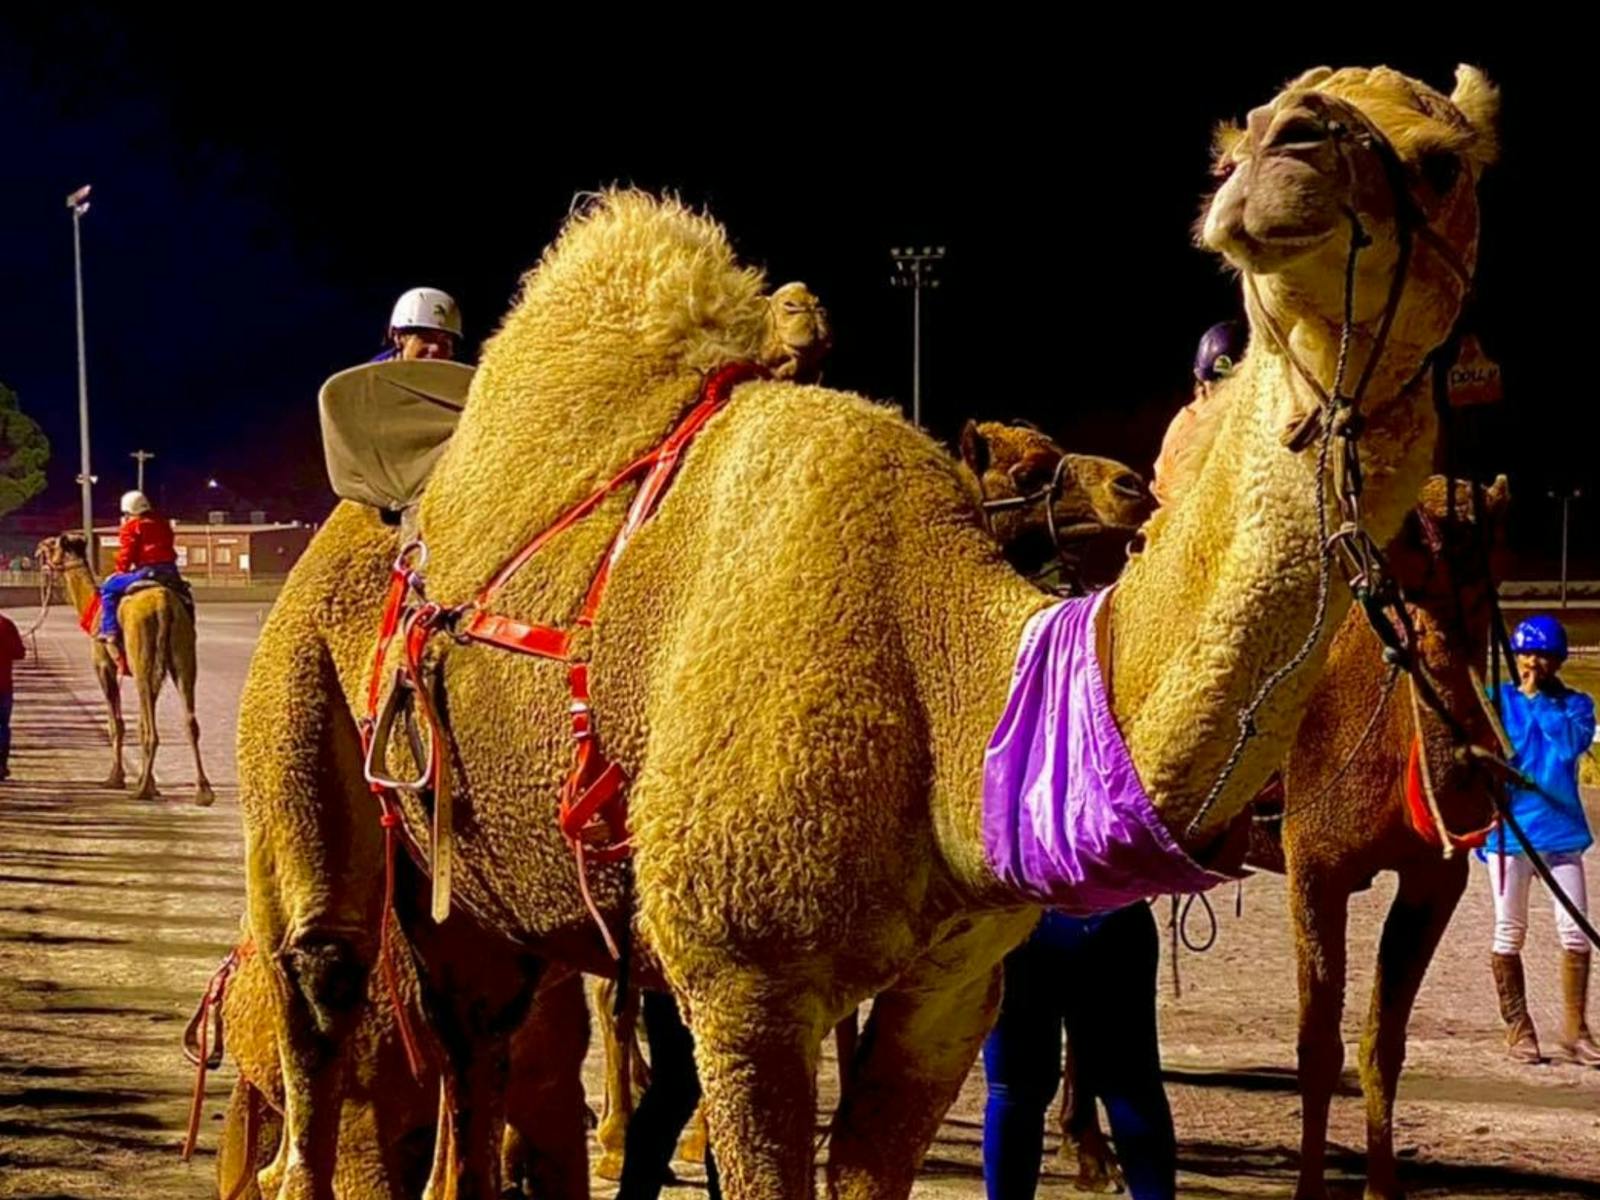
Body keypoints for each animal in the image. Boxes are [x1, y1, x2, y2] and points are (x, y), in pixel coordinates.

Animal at [36, 534, 214, 809]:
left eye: (52, 544)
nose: (38, 549)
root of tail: (164, 605)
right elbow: (139, 721)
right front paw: (149, 782)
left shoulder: (104, 665)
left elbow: (116, 723)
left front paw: (116, 778)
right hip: (183, 655)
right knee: (189, 720)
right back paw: (203, 792)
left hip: (141, 653)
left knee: (152, 729)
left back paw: (141, 792)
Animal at [240, 65, 1497, 1200]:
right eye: (1249, 130)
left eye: (1445, 159)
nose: (1286, 156)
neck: (949, 669)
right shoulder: (741, 983)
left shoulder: (951, 990)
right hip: (298, 705)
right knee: (327, 992)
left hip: (486, 874)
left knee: (484, 1041)